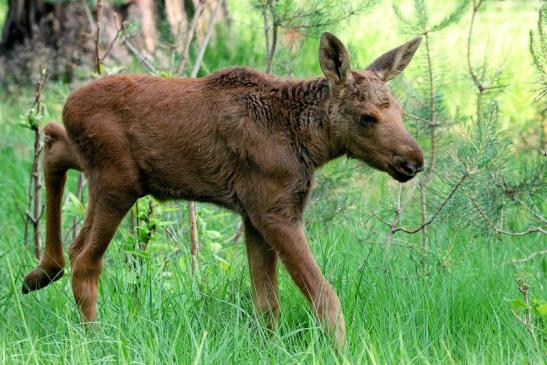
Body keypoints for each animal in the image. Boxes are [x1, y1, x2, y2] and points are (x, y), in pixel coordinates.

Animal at [22, 32, 424, 344]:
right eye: (367, 117)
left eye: (400, 111)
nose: (414, 160)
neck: (309, 142)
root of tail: (70, 105)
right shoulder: (275, 210)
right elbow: (324, 297)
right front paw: (341, 349)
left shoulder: (254, 215)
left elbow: (267, 304)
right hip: (117, 182)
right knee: (86, 262)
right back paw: (93, 337)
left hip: (101, 170)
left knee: (53, 144)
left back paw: (41, 272)